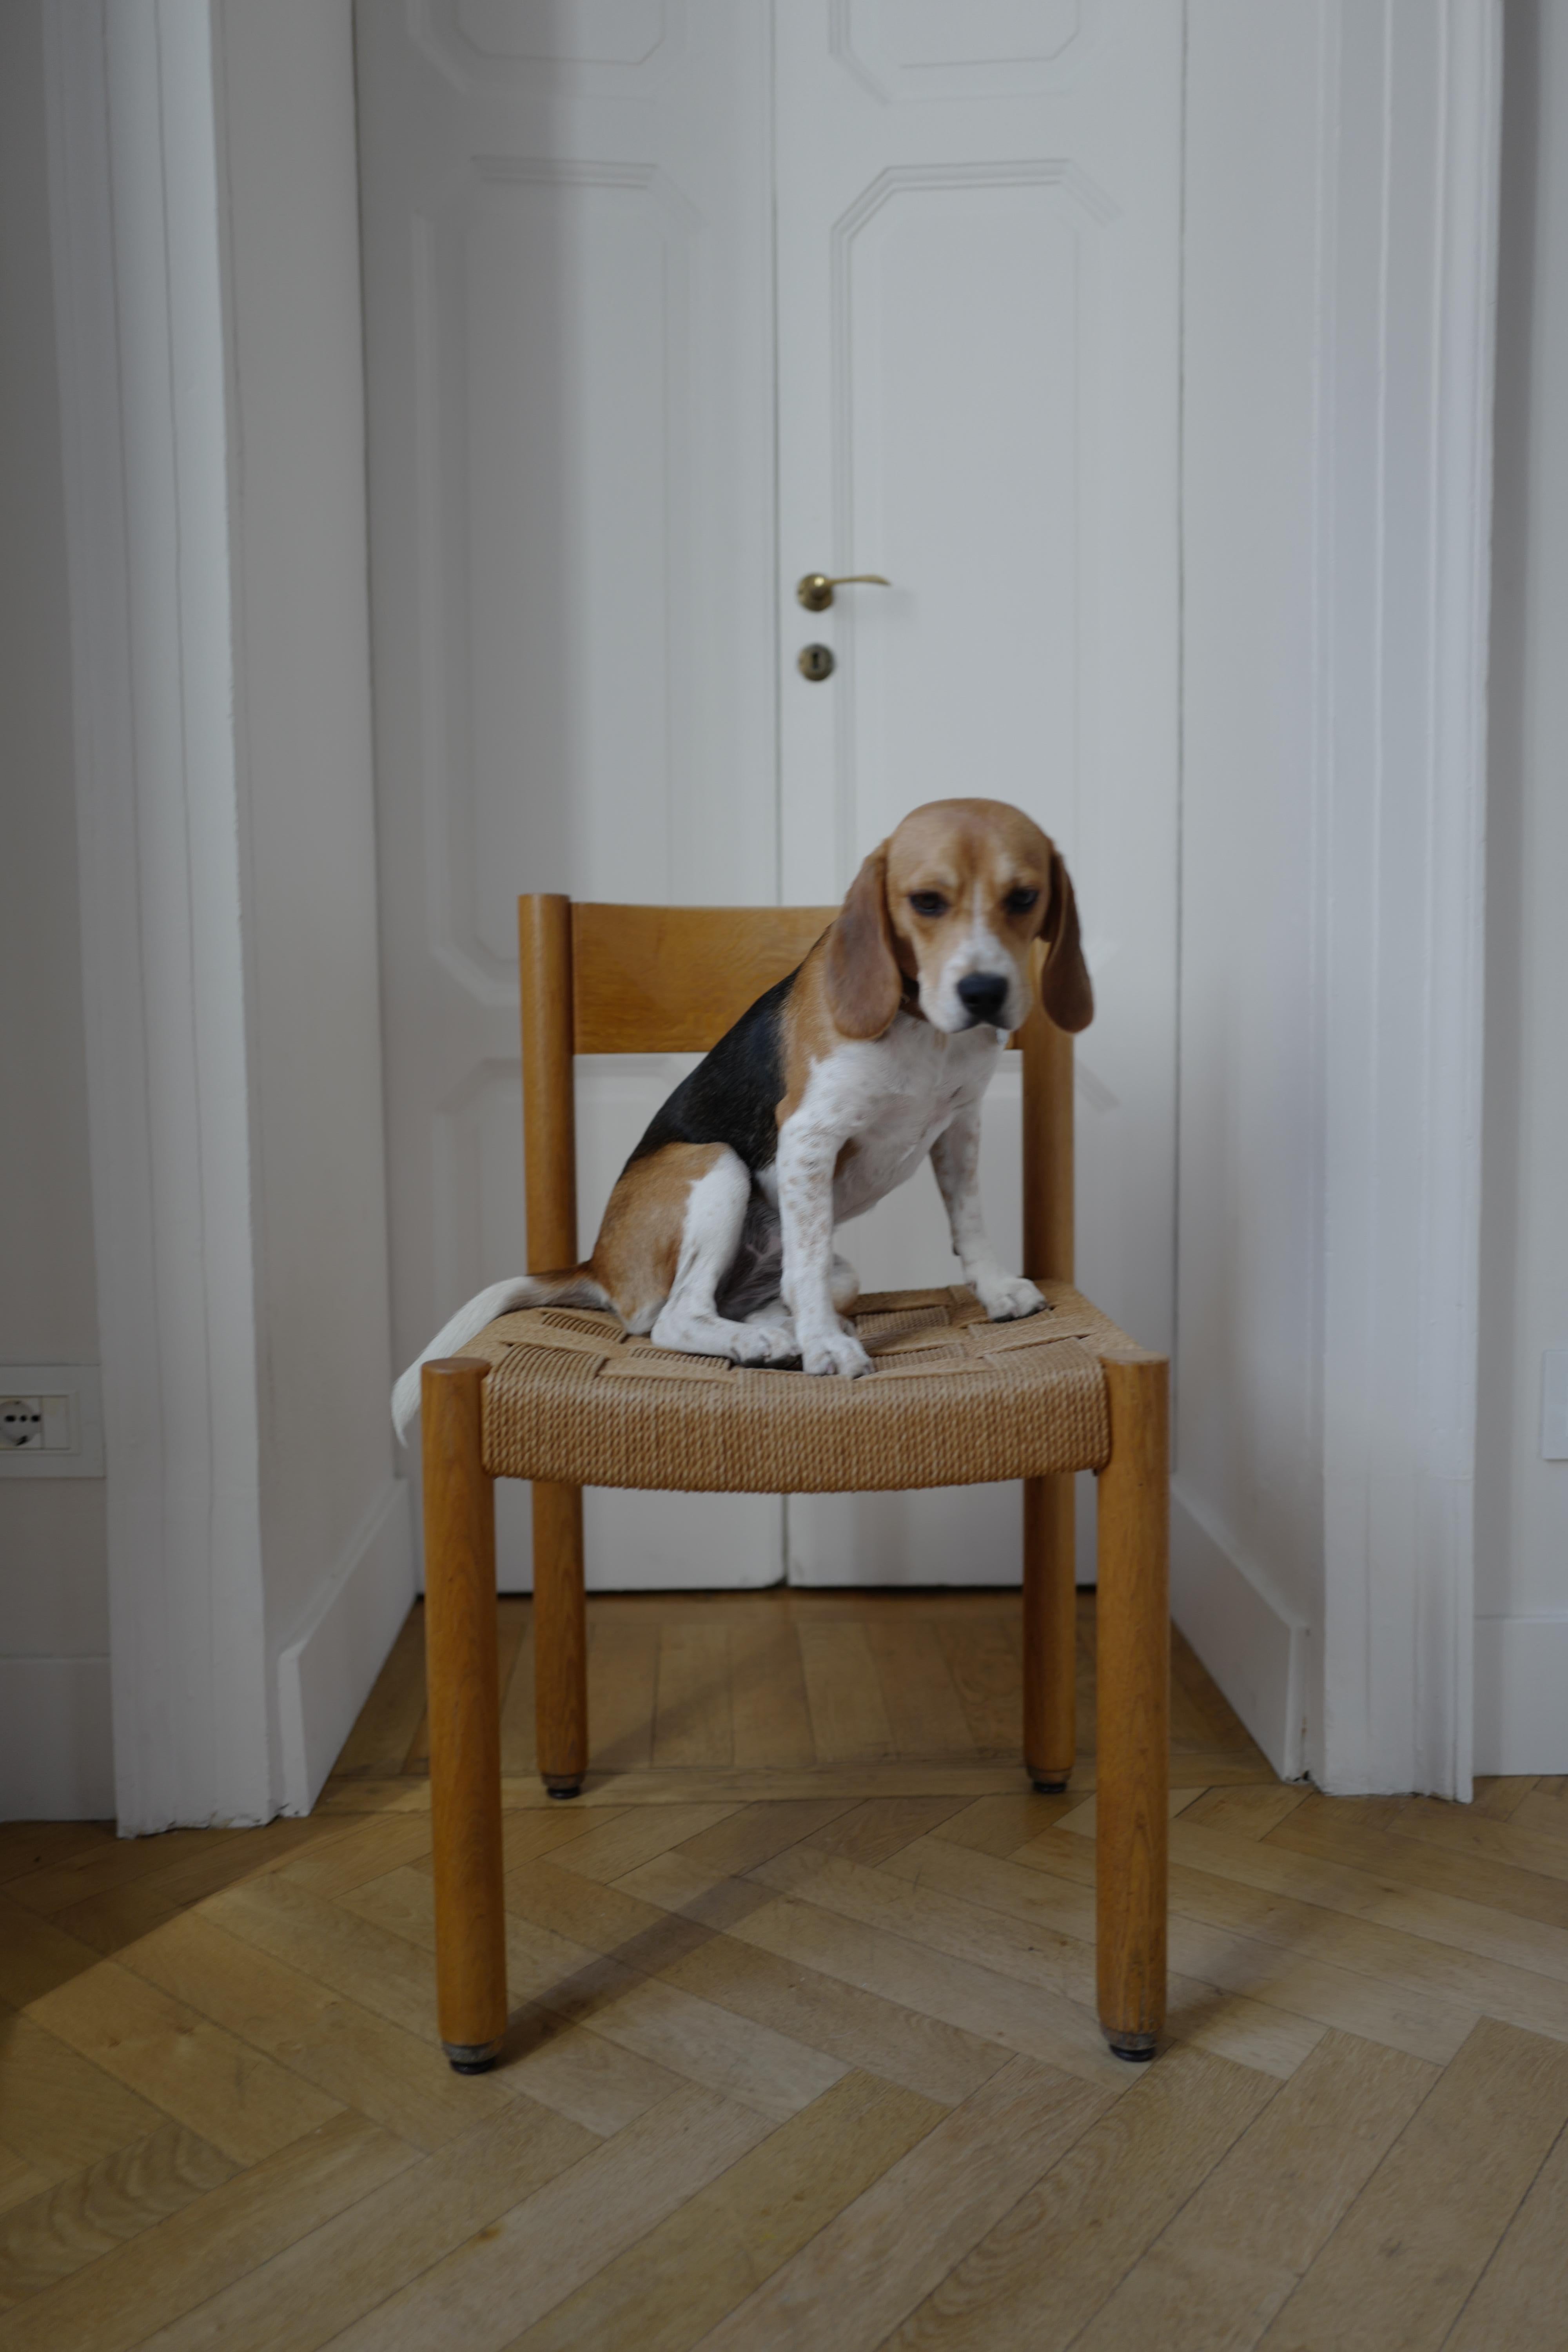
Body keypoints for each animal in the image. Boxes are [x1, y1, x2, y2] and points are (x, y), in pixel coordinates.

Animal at [395, 800, 1091, 1439]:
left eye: (1024, 897)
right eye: (926, 902)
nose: (984, 992)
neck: (924, 1029)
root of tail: (598, 1264)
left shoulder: (960, 1126)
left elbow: (970, 1222)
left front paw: (996, 1290)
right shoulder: (809, 1135)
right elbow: (806, 1262)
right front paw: (829, 1350)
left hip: (838, 1269)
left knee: (763, 1297)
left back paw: (787, 1331)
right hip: (714, 1164)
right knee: (673, 1318)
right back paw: (773, 1341)